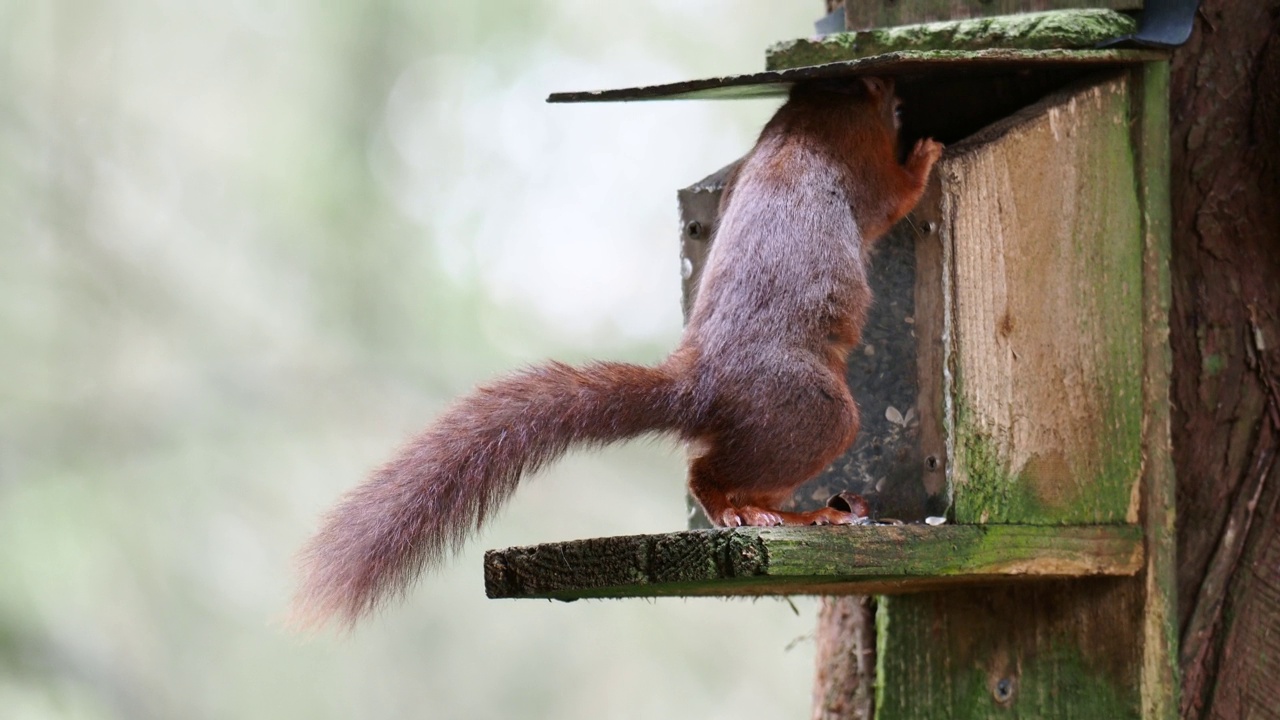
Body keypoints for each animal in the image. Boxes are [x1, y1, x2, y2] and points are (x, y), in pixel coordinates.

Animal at [296, 78, 942, 625]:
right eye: (883, 97)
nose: (899, 92)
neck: (804, 122)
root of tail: (700, 388)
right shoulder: (862, 163)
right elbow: (896, 197)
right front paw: (928, 155)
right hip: (817, 415)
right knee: (708, 473)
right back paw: (770, 513)